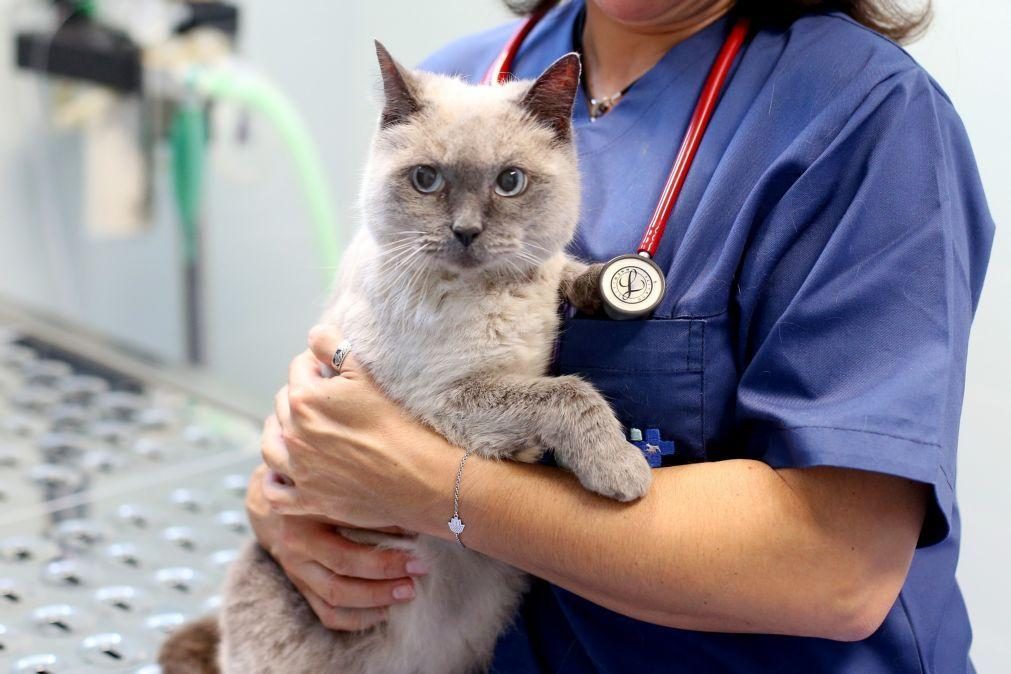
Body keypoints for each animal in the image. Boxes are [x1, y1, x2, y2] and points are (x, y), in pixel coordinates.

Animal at [156, 42, 647, 674]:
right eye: (426, 179)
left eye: (509, 182)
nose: (465, 231)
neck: (500, 291)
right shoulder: (450, 400)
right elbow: (567, 392)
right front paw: (624, 471)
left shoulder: (538, 287)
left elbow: (570, 270)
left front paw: (610, 290)